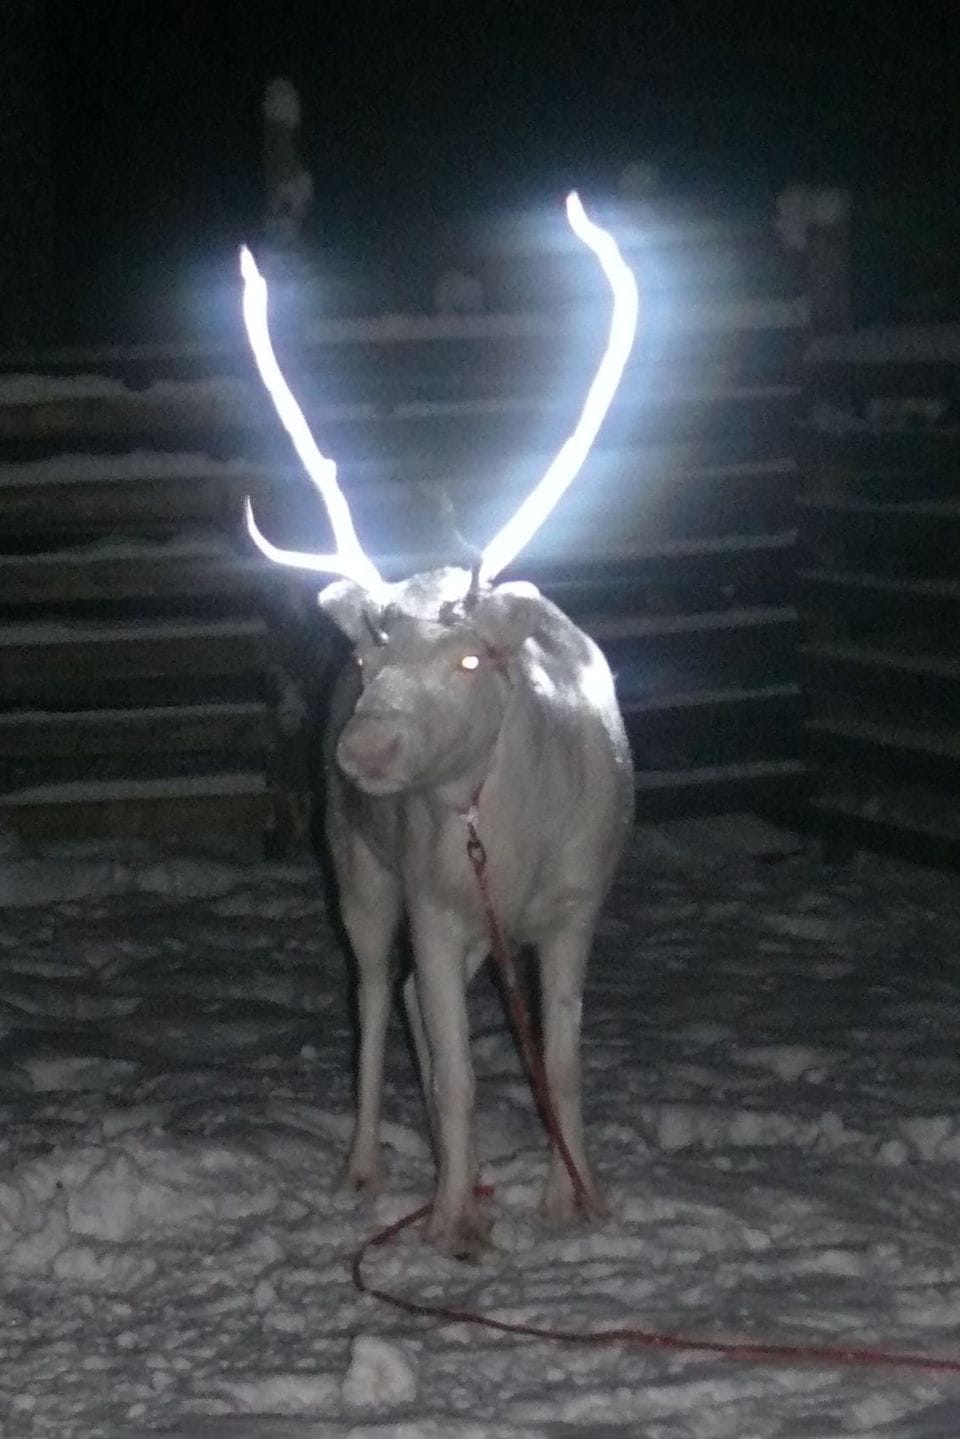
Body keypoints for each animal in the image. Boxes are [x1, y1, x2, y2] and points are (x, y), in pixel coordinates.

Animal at [241, 194, 638, 1257]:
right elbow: (457, 1070)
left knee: (421, 1003)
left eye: (468, 660)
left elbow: (562, 1061)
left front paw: (576, 1196)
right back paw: (370, 1165)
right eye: (371, 661)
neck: (500, 835)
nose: (364, 747)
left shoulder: (576, 904)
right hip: (362, 876)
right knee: (380, 1000)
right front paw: (455, 1220)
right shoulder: (432, 899)